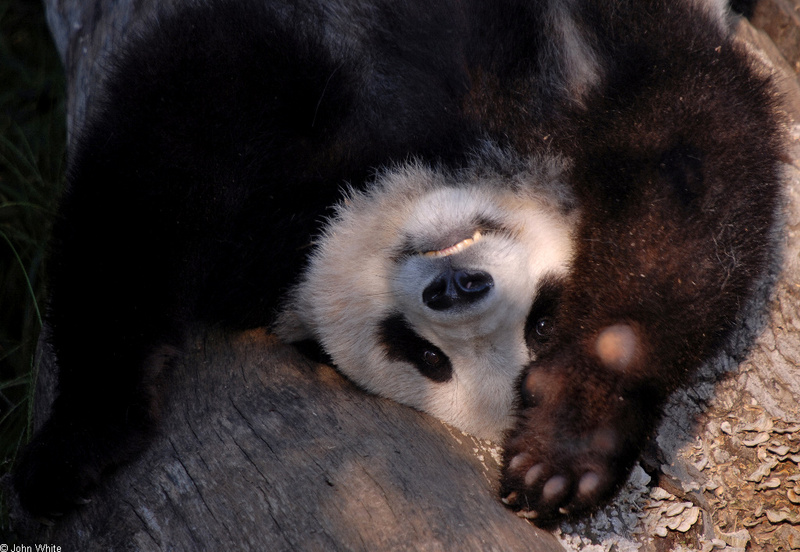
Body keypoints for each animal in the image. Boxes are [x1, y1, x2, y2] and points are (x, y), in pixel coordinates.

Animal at [15, 0, 784, 528]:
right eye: (426, 356)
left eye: (541, 323)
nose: (458, 287)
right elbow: (157, 159)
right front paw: (70, 449)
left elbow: (693, 172)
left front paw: (568, 446)